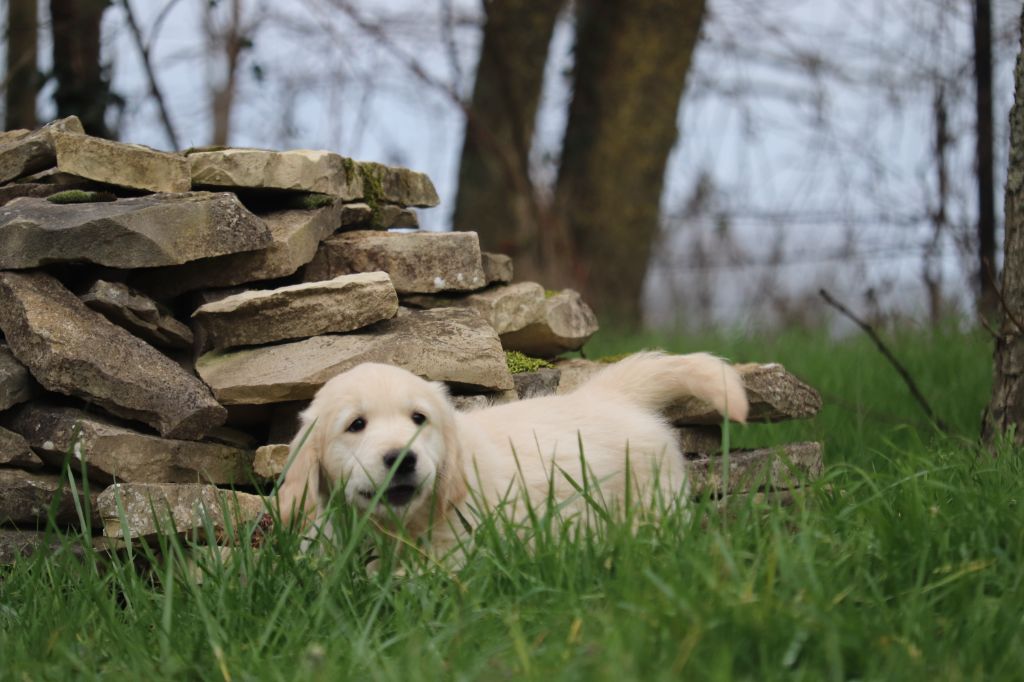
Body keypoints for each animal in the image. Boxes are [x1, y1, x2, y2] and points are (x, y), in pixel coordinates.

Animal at [276, 350, 749, 557]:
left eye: (418, 419)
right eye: (356, 425)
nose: (402, 458)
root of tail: (609, 394)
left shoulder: (458, 551)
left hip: (649, 504)